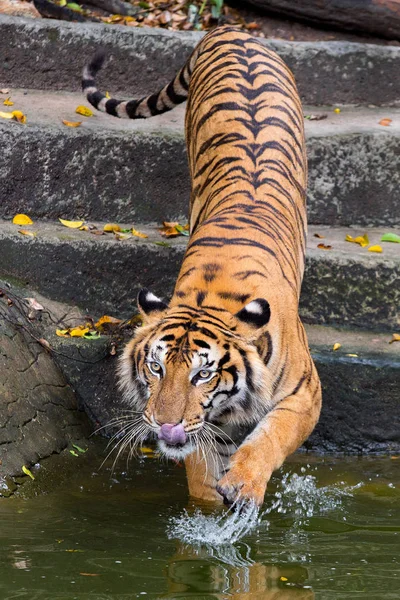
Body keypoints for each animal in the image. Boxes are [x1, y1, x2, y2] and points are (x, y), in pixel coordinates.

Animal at [82, 24, 322, 506]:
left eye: (203, 374)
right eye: (156, 367)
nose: (165, 425)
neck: (214, 295)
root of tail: (230, 30)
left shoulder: (306, 393)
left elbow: (272, 435)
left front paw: (245, 483)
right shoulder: (206, 428)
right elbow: (201, 473)